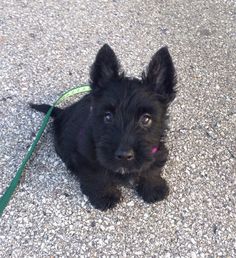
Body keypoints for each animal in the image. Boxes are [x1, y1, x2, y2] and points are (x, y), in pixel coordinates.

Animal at [30, 43, 175, 210]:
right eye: (108, 116)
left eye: (146, 119)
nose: (124, 155)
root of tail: (62, 111)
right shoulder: (86, 156)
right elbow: (98, 175)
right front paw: (105, 196)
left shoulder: (155, 150)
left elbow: (151, 168)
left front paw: (153, 187)